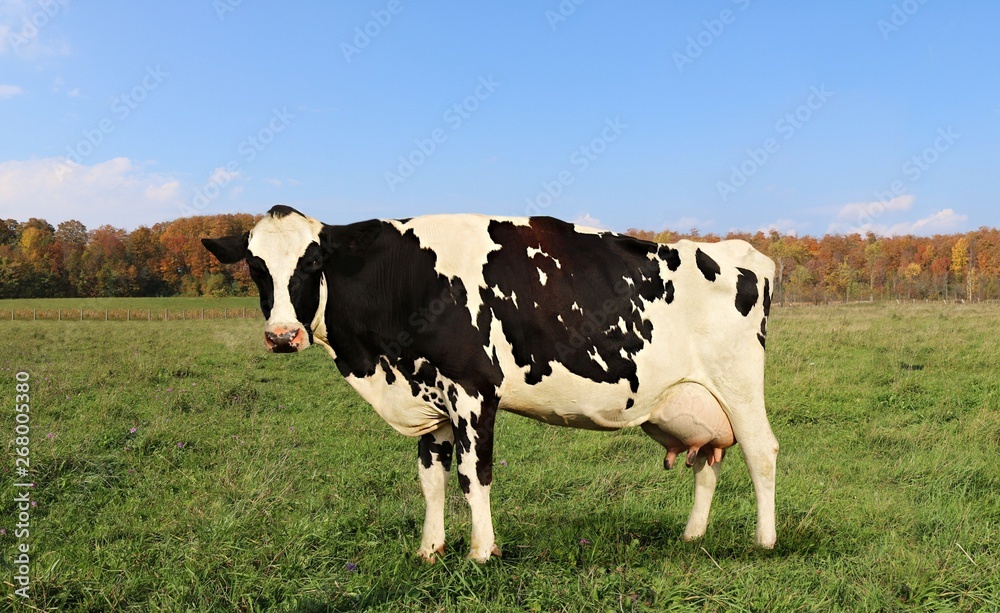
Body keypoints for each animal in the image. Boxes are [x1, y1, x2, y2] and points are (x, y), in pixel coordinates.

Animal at [203, 206, 780, 560]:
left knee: (761, 451)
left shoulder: (473, 389)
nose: (282, 335)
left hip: (738, 384)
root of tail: (740, 251)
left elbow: (472, 474)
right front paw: (430, 551)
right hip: (699, 401)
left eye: (313, 261)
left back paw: (765, 541)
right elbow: (431, 480)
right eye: (255, 266)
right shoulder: (431, 400)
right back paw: (692, 535)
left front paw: (482, 552)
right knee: (708, 460)